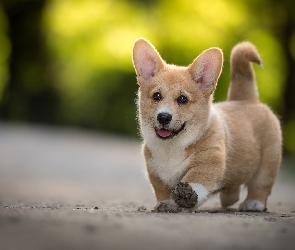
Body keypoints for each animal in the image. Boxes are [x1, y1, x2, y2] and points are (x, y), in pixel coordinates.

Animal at [133, 38, 284, 212]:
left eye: (183, 99)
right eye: (157, 96)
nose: (163, 117)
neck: (172, 147)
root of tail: (247, 99)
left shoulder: (208, 162)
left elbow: (196, 180)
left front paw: (186, 195)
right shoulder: (155, 172)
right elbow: (162, 190)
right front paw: (166, 203)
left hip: (267, 164)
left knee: (261, 185)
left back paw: (253, 203)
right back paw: (229, 198)